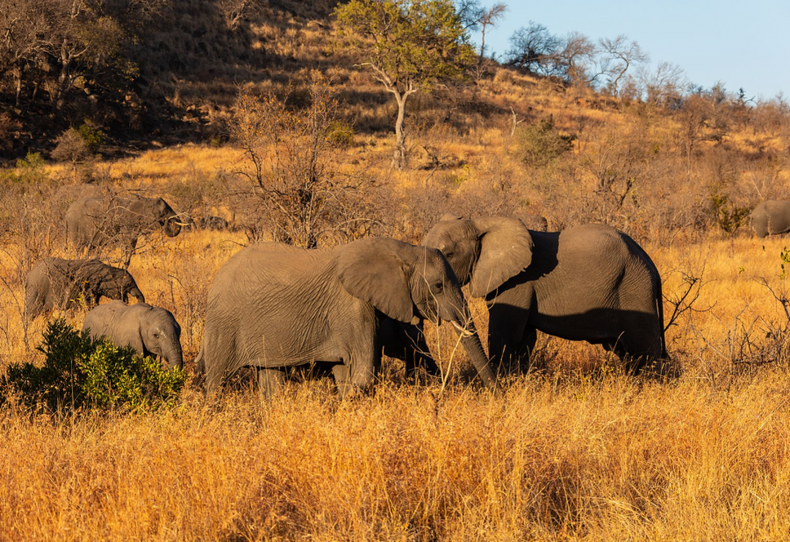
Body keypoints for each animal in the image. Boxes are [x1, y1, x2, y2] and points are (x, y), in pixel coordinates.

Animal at [196, 237, 495, 397]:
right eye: (438, 286)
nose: (498, 392)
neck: (400, 250)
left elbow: (347, 373)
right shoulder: (352, 307)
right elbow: (363, 374)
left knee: (270, 379)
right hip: (224, 324)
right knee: (217, 381)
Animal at [422, 215, 667, 375]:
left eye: (449, 254)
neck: (479, 223)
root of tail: (651, 264)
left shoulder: (517, 282)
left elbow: (504, 335)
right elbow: (525, 339)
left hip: (634, 289)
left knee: (645, 349)